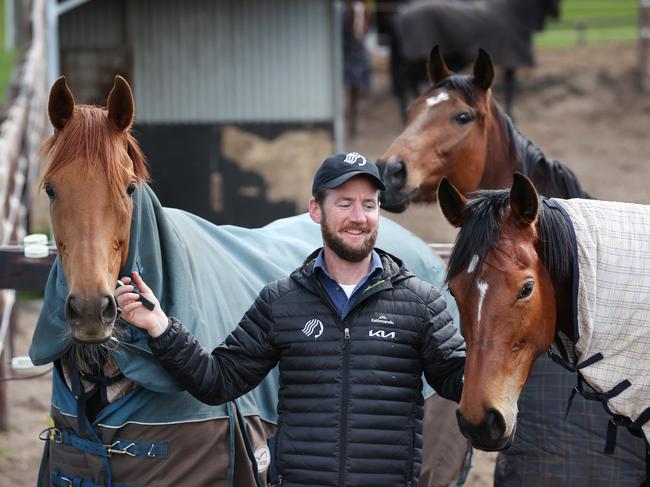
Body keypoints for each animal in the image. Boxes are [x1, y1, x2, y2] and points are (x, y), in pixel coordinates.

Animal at [382, 0, 560, 116]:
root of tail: (399, 15)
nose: (556, 15)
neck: (513, 13)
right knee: (405, 80)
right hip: (416, 59)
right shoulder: (511, 61)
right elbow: (510, 88)